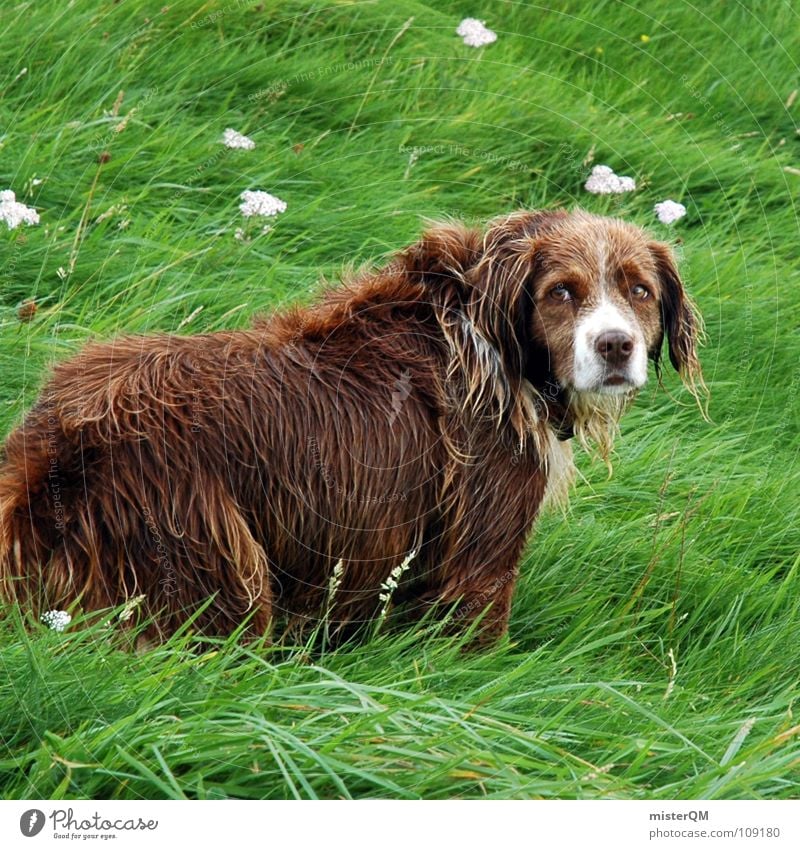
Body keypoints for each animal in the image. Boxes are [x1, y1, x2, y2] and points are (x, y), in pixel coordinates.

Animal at [0, 210, 700, 644]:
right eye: (561, 290)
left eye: (639, 289)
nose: (615, 347)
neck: (497, 342)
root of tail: (58, 452)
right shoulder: (482, 517)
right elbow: (475, 616)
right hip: (205, 540)